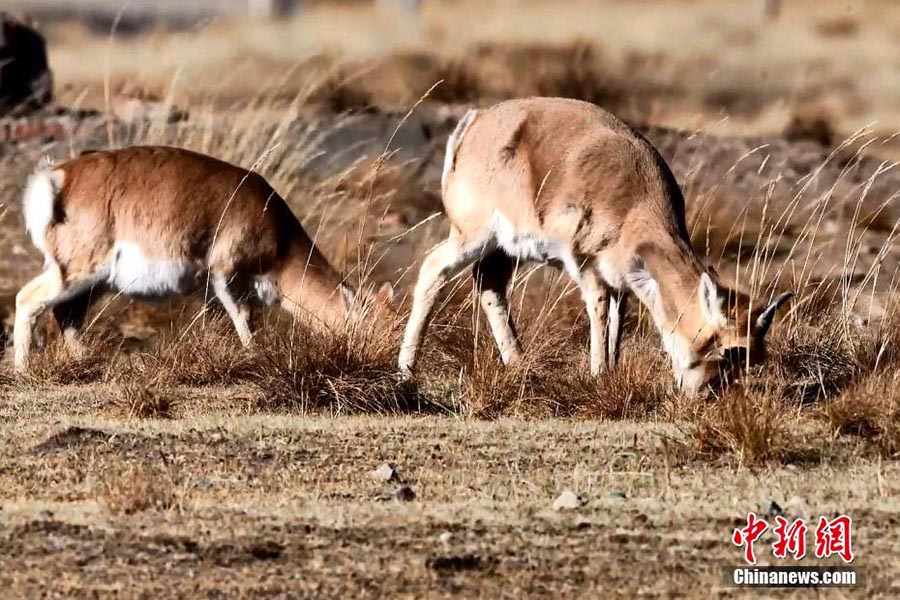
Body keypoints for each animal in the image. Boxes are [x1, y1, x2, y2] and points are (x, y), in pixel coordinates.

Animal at [13, 146, 384, 370]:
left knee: (66, 316)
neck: (280, 235)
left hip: (94, 283)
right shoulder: (227, 278)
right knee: (26, 299)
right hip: (77, 273)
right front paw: (256, 357)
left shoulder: (211, 294)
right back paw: (23, 368)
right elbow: (245, 321)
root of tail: (60, 176)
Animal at [398, 98, 792, 394]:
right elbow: (599, 312)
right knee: (434, 267)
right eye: (729, 351)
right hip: (474, 236)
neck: (636, 202)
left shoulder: (623, 283)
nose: (708, 395)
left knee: (489, 284)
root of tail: (478, 120)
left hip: (504, 250)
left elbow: (619, 320)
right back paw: (407, 370)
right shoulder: (589, 271)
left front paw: (613, 369)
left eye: (755, 356)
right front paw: (600, 374)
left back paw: (521, 365)